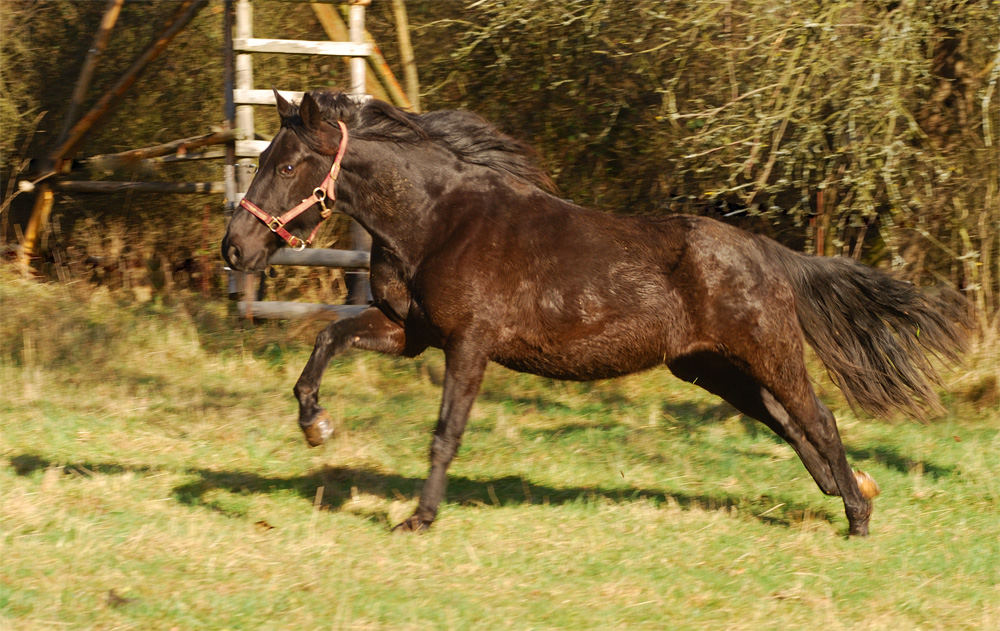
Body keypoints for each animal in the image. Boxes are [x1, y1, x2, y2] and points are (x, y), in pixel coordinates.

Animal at [221, 90, 968, 540]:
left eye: (285, 165)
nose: (236, 247)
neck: (437, 220)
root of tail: (767, 253)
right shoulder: (410, 334)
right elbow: (327, 339)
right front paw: (315, 424)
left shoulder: (468, 343)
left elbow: (445, 433)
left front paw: (419, 519)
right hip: (713, 371)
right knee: (791, 425)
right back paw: (855, 491)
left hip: (766, 355)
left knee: (819, 419)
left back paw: (858, 515)